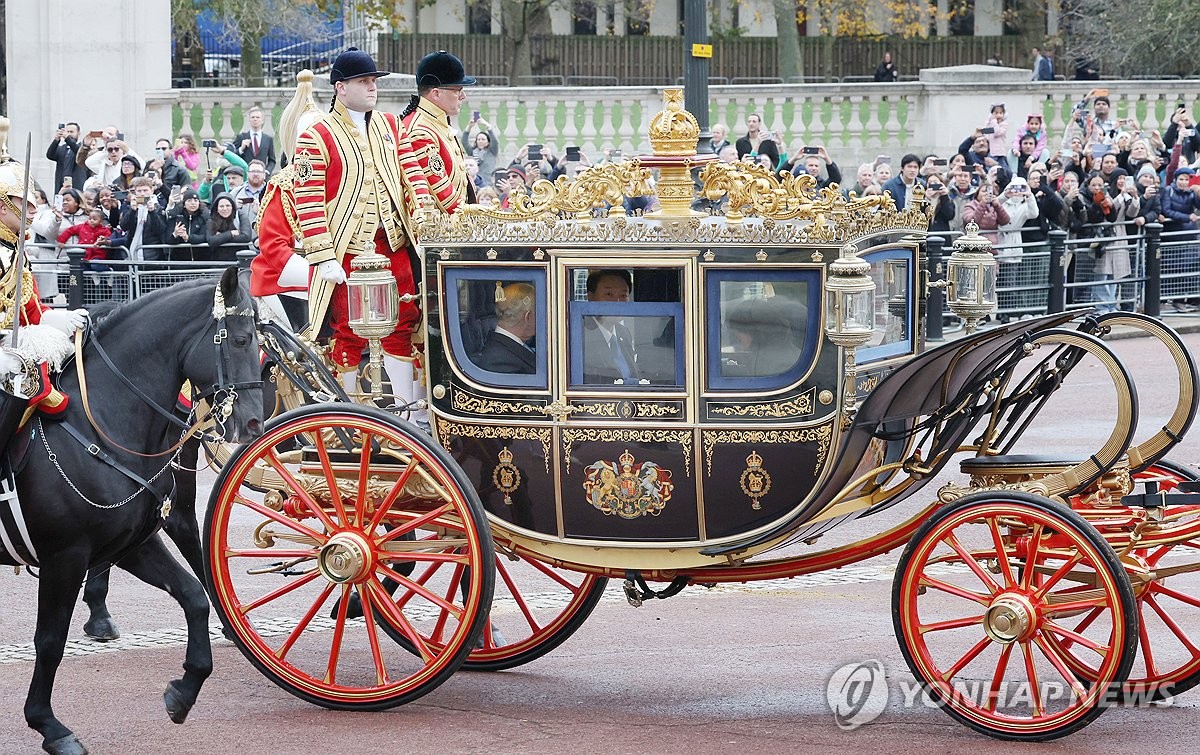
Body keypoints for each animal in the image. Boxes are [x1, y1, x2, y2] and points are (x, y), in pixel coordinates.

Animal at [6, 266, 260, 753]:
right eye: (240, 340)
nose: (255, 423)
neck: (97, 427)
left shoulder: (130, 544)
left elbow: (193, 596)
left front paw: (183, 691)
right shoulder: (65, 556)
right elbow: (50, 640)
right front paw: (49, 725)